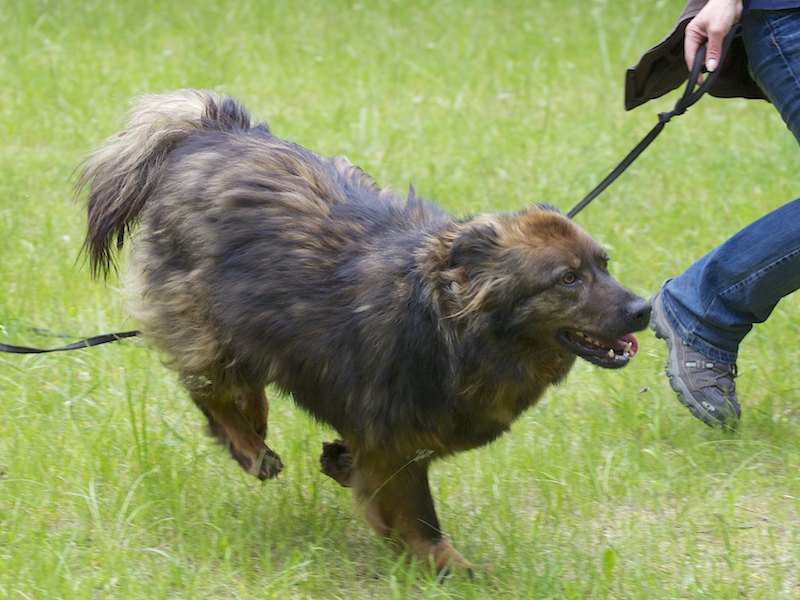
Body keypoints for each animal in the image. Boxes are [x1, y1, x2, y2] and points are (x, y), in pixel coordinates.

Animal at [79, 90, 650, 571]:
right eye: (568, 279)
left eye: (603, 264)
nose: (644, 308)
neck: (456, 329)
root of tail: (213, 130)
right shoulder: (397, 445)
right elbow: (420, 520)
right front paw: (451, 569)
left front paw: (340, 462)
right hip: (205, 320)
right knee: (208, 390)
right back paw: (249, 447)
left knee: (244, 382)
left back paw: (257, 421)